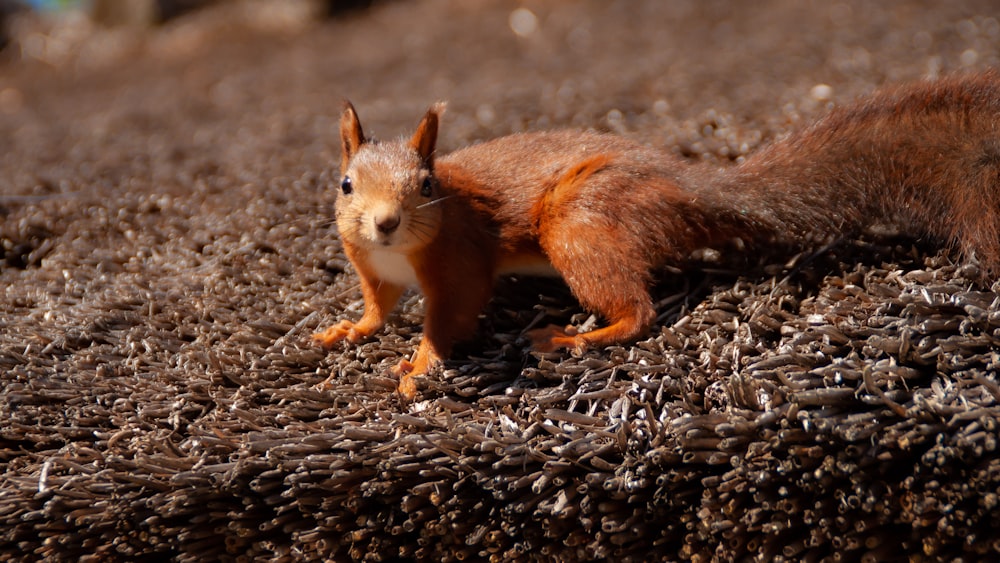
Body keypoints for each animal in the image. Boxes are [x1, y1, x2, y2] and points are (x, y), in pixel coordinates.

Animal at [314, 71, 1000, 396]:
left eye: (426, 184)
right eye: (346, 184)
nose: (385, 222)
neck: (400, 254)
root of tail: (685, 187)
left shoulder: (458, 263)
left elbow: (450, 319)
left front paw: (418, 367)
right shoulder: (370, 267)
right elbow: (377, 307)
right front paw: (351, 329)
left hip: (579, 224)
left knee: (638, 312)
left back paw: (569, 339)